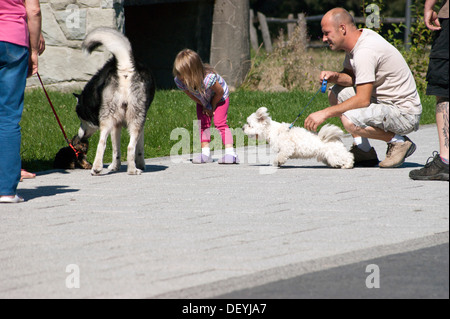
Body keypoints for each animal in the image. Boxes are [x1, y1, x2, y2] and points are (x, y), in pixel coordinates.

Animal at [74, 27, 156, 176]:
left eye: (82, 119)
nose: (80, 136)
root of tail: (125, 67)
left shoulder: (115, 125)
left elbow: (115, 149)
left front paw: (114, 166)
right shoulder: (140, 122)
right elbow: (139, 148)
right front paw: (140, 164)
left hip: (109, 118)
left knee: (101, 143)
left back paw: (97, 168)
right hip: (136, 118)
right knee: (130, 147)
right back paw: (133, 170)